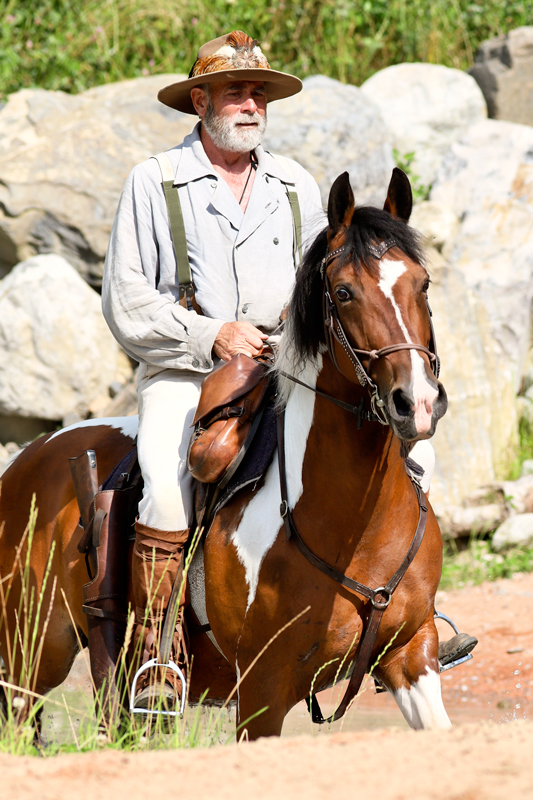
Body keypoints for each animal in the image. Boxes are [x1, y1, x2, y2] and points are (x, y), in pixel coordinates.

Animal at [0, 167, 448, 736]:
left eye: (422, 283)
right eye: (344, 292)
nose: (417, 403)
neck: (350, 526)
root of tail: (23, 462)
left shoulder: (411, 654)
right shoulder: (261, 691)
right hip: (29, 661)